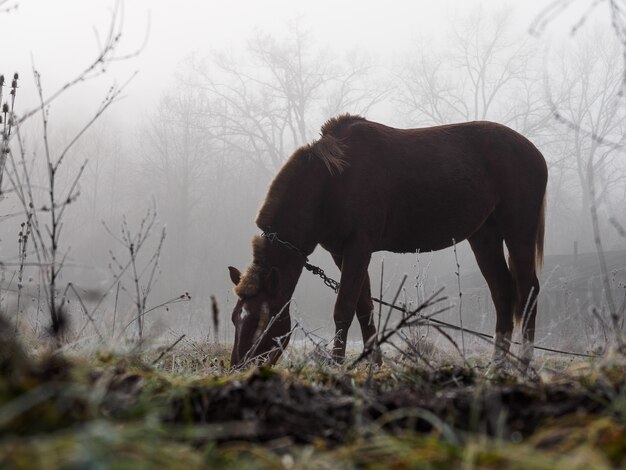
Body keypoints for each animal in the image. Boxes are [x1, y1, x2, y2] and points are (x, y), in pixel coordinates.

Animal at [227, 114, 544, 370]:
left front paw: (337, 366)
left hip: (519, 233)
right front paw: (374, 365)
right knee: (503, 293)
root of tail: (534, 152)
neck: (331, 183)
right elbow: (364, 308)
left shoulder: (359, 248)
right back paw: (497, 366)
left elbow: (344, 309)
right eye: (234, 318)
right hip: (484, 235)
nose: (237, 368)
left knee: (529, 290)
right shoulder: (341, 252)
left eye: (261, 320)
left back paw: (524, 366)